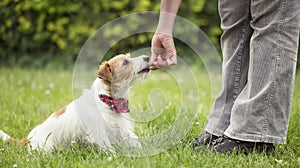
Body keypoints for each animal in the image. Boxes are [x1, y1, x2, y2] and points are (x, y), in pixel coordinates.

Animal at [0, 53, 150, 152]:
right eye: (125, 62)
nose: (147, 57)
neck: (107, 100)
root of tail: (28, 138)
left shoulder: (123, 129)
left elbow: (133, 141)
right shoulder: (98, 133)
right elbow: (109, 149)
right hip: (47, 147)